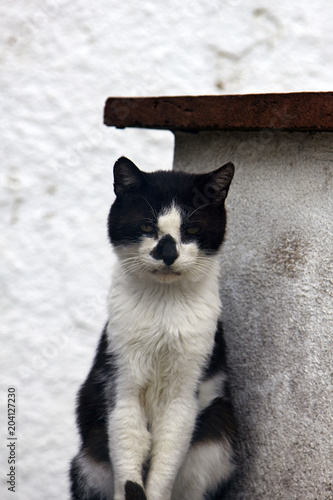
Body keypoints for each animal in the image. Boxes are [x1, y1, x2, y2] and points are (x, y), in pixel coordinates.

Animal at [69, 157, 236, 500]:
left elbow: (165, 462)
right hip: (89, 457)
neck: (164, 309)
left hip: (214, 436)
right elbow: (127, 455)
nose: (168, 253)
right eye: (147, 226)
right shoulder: (121, 384)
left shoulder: (184, 395)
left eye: (192, 229)